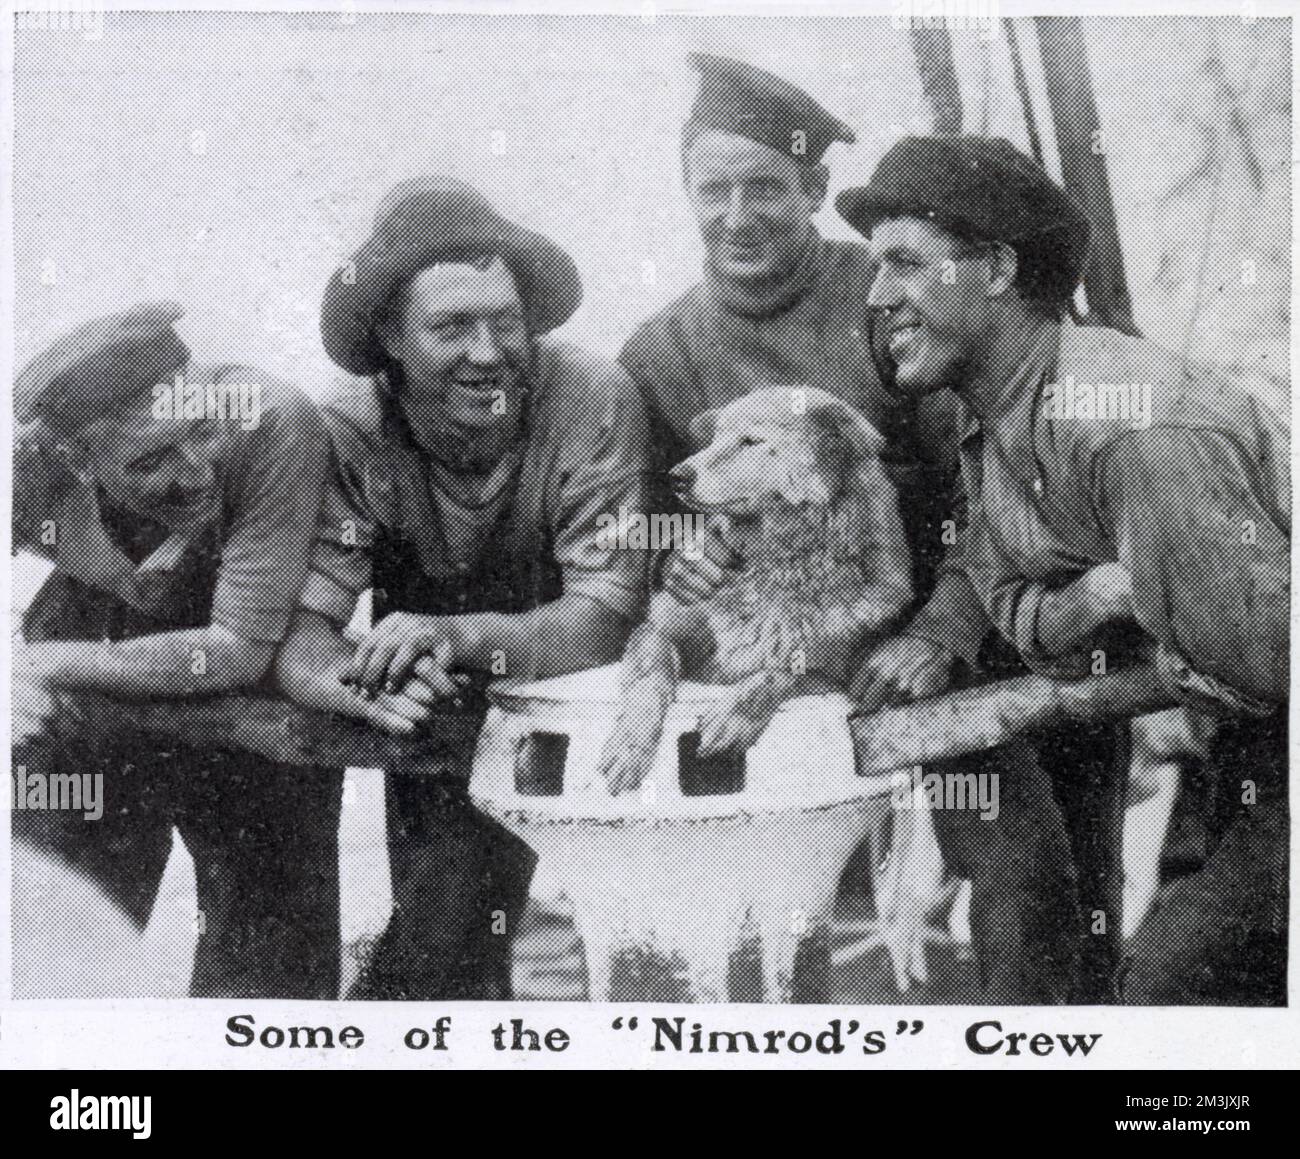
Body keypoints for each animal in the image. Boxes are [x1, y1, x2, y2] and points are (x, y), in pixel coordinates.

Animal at [598, 384, 915, 789]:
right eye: (715, 439)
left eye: (751, 441)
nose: (676, 476)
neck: (779, 558)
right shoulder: (658, 629)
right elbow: (648, 682)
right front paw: (629, 745)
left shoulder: (836, 668)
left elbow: (780, 670)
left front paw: (732, 716)